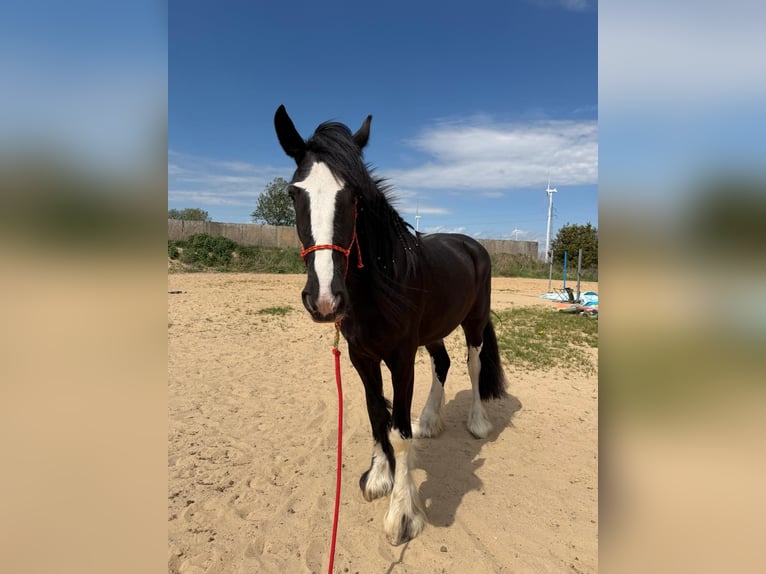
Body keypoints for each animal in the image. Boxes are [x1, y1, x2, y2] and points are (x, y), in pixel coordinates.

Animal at [274, 105, 508, 545]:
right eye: (294, 193)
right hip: (434, 331)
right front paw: (380, 478)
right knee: (442, 364)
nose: (325, 299)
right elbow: (376, 415)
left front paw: (402, 514)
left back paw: (477, 423)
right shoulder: (361, 357)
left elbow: (398, 430)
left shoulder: (400, 358)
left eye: (354, 197)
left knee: (472, 365)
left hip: (473, 323)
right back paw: (429, 421)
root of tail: (471, 244)